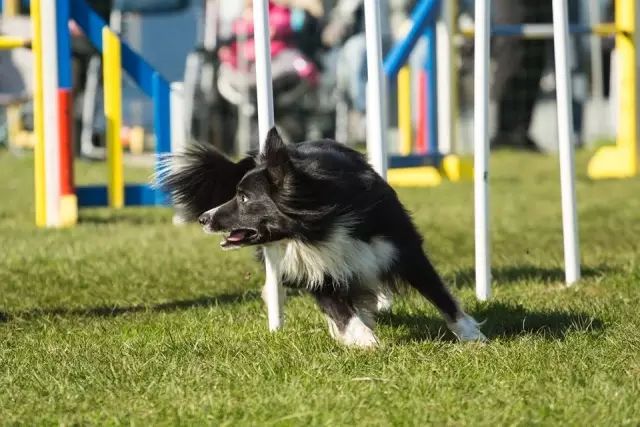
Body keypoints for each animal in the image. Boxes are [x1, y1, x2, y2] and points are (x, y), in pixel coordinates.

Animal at [160, 129, 484, 350]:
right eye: (237, 194)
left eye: (244, 198)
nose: (204, 218)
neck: (319, 224)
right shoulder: (316, 268)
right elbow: (340, 310)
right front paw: (367, 343)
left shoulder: (402, 248)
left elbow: (440, 294)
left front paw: (473, 336)